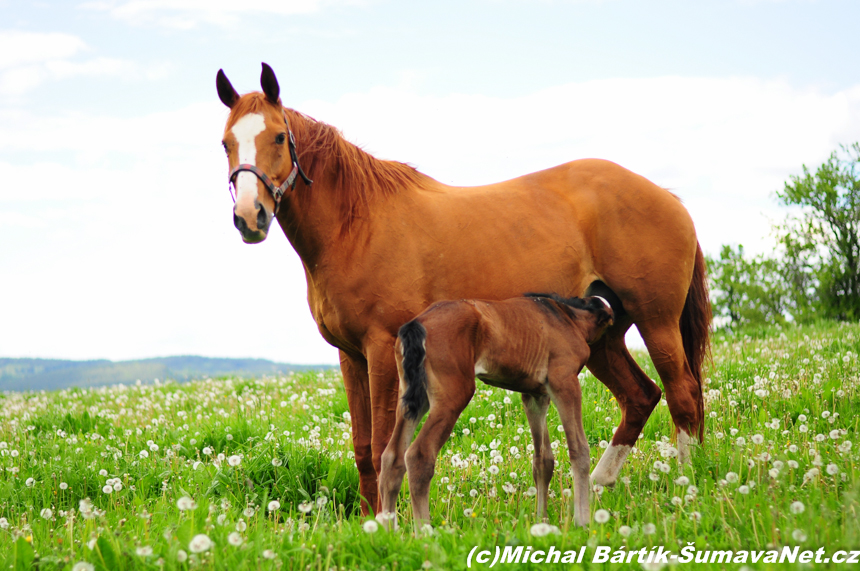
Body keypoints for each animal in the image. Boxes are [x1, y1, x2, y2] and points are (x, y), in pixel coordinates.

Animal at [380, 294, 616, 532]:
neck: (566, 317)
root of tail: (417, 323)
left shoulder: (535, 396)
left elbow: (543, 460)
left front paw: (541, 522)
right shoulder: (564, 382)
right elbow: (579, 449)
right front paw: (583, 522)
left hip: (414, 398)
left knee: (392, 457)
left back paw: (388, 532)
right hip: (452, 396)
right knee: (419, 455)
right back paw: (424, 533)